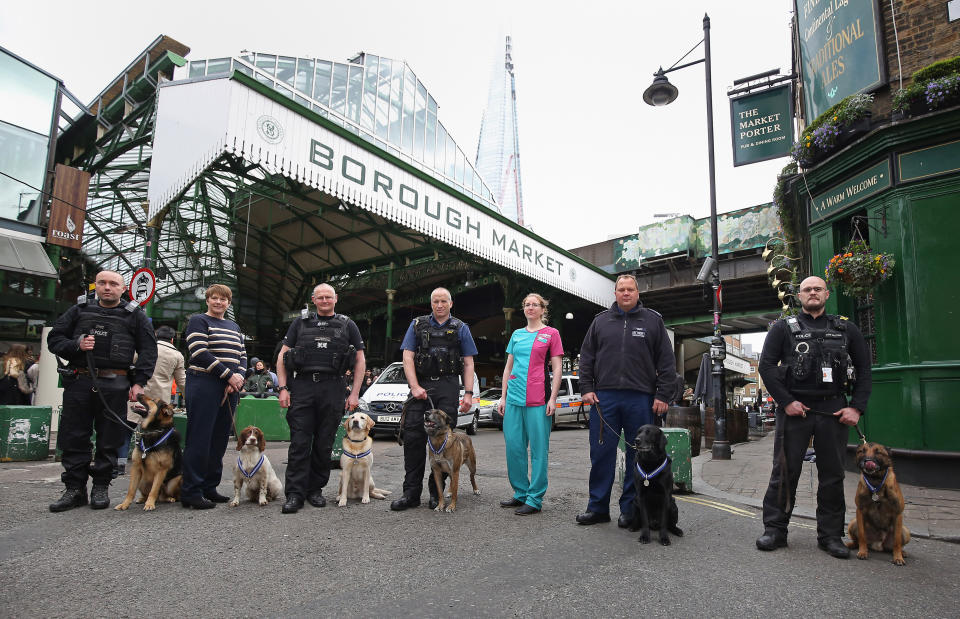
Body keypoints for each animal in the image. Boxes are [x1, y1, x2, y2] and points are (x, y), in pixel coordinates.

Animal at [852, 440, 912, 568]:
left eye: (878, 452)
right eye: (862, 451)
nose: (867, 461)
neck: (875, 482)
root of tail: (878, 545)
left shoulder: (898, 514)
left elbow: (897, 541)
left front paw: (898, 558)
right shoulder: (860, 510)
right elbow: (862, 536)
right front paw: (863, 552)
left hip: (905, 531)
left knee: (895, 545)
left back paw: (902, 552)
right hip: (853, 523)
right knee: (857, 541)